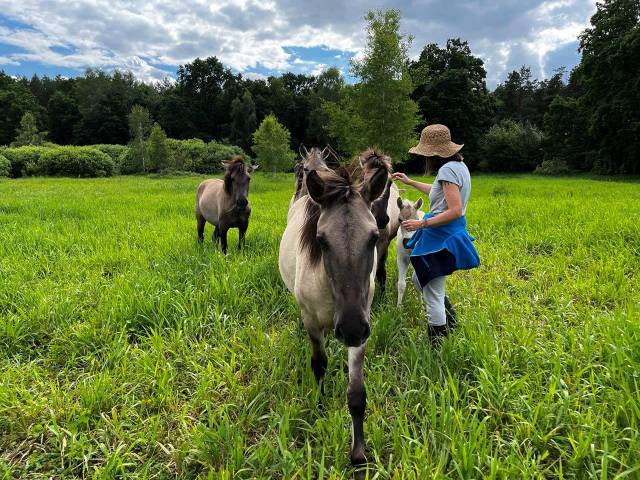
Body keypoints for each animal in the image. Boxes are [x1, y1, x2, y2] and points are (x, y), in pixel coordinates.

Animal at [278, 164, 388, 464]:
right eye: (321, 240)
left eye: (374, 238)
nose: (350, 329)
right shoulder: (312, 324)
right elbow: (319, 365)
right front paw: (319, 407)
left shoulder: (362, 326)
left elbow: (357, 393)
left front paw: (359, 454)